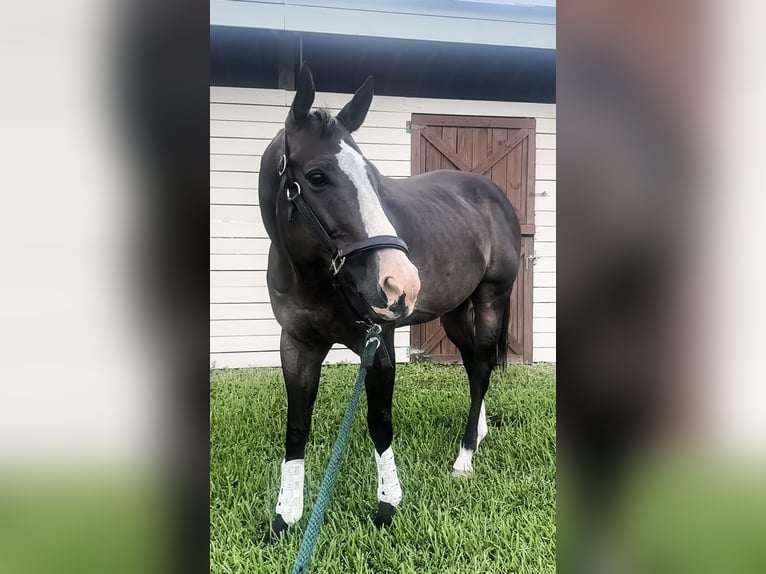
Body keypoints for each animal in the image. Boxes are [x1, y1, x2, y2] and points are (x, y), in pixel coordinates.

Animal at [258, 64, 521, 537]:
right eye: (317, 177)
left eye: (372, 176)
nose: (401, 283)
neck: (318, 277)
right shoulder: (297, 345)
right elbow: (297, 427)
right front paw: (284, 517)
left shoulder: (378, 346)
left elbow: (379, 424)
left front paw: (387, 505)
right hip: (454, 313)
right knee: (473, 364)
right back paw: (478, 432)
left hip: (491, 300)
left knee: (482, 368)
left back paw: (465, 457)